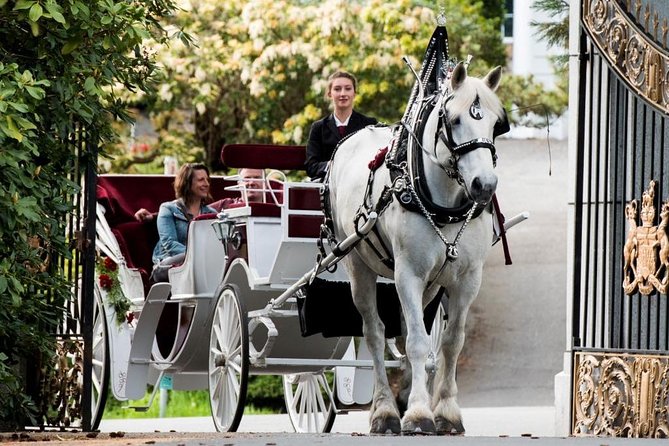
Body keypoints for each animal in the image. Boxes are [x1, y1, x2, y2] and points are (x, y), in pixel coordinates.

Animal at [328, 62, 504, 435]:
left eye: (497, 123)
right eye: (454, 120)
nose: (484, 185)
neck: (445, 204)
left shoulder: (467, 279)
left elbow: (450, 342)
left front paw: (446, 412)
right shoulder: (408, 273)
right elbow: (418, 343)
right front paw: (419, 413)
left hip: (432, 285)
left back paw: (405, 395)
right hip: (358, 266)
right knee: (375, 334)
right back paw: (384, 410)